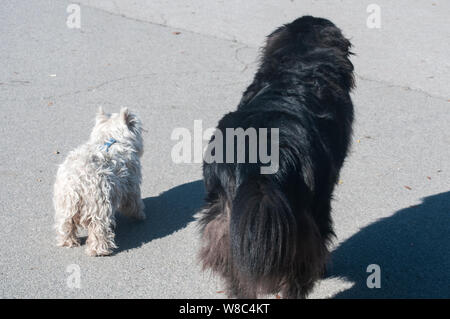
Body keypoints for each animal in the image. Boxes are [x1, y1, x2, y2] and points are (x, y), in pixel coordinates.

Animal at [53, 107, 145, 258]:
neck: (110, 139)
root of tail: (75, 184)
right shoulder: (131, 183)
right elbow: (133, 202)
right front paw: (139, 216)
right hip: (99, 204)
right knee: (99, 228)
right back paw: (99, 250)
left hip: (65, 205)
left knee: (65, 225)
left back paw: (68, 242)